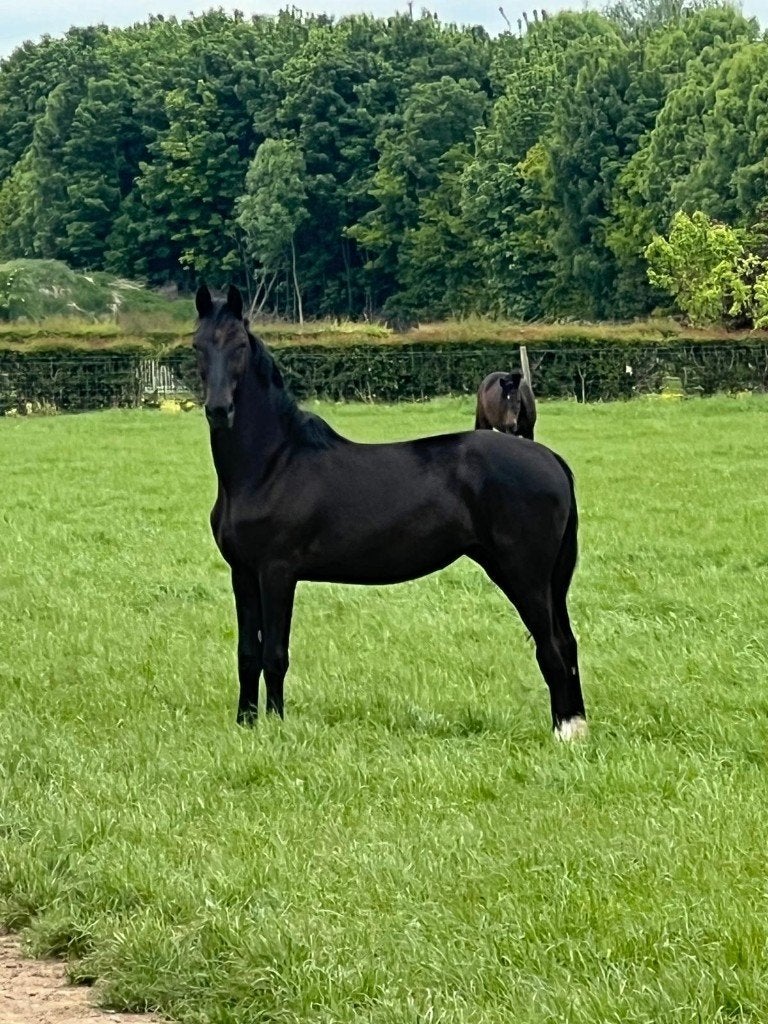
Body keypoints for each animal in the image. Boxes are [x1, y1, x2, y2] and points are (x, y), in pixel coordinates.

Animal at [193, 285, 586, 740]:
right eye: (197, 345)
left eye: (239, 345)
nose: (219, 410)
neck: (272, 463)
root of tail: (550, 458)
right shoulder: (243, 573)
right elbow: (247, 653)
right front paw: (246, 723)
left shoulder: (277, 572)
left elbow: (274, 653)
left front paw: (276, 727)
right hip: (541, 578)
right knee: (566, 642)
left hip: (525, 574)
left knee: (551, 647)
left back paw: (564, 732)